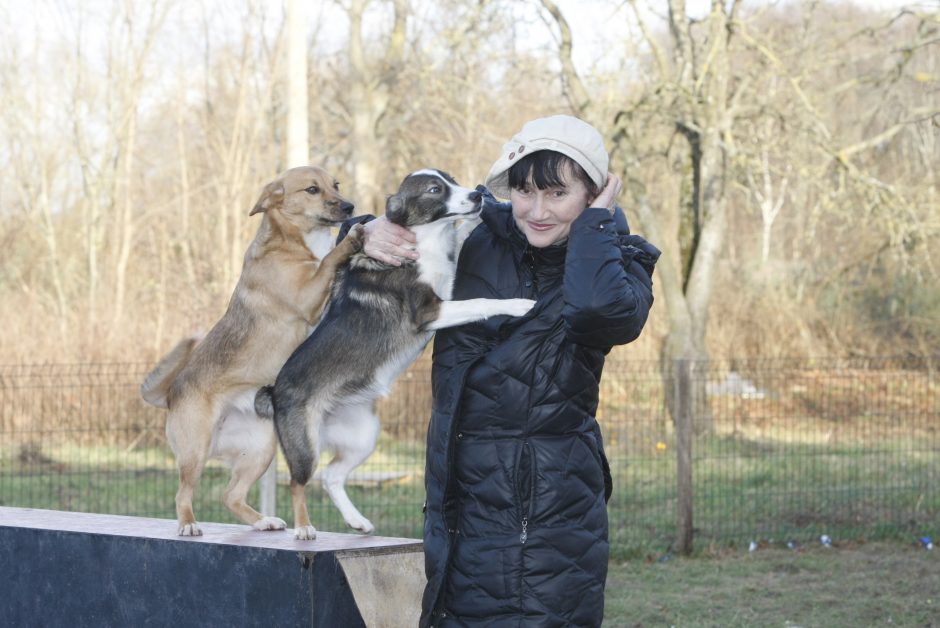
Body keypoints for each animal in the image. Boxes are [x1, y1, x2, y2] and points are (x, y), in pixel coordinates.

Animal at [140, 166, 364, 536]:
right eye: (312, 189)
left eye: (336, 185)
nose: (349, 207)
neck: (292, 242)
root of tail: (170, 394)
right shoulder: (307, 297)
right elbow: (330, 260)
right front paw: (350, 241)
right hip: (196, 451)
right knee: (183, 493)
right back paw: (188, 524)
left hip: (260, 450)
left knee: (231, 496)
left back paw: (263, 521)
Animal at [258, 169, 536, 536]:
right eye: (435, 190)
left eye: (452, 180)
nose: (478, 195)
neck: (427, 238)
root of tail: (274, 391)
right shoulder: (429, 312)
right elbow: (481, 302)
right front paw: (517, 304)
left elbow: (462, 243)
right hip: (305, 447)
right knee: (298, 482)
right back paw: (304, 528)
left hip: (363, 437)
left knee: (331, 476)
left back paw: (356, 521)